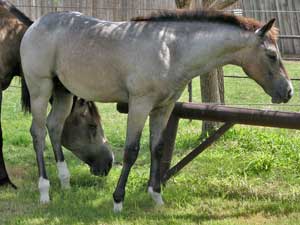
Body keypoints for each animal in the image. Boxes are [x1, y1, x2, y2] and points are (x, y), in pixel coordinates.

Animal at [19, 9, 292, 212]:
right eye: (271, 55)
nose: (288, 92)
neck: (171, 51)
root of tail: (36, 24)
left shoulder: (163, 108)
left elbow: (157, 148)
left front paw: (156, 196)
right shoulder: (140, 104)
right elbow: (132, 151)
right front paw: (118, 201)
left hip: (63, 92)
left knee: (54, 128)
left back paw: (64, 182)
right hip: (40, 89)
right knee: (38, 132)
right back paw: (44, 191)